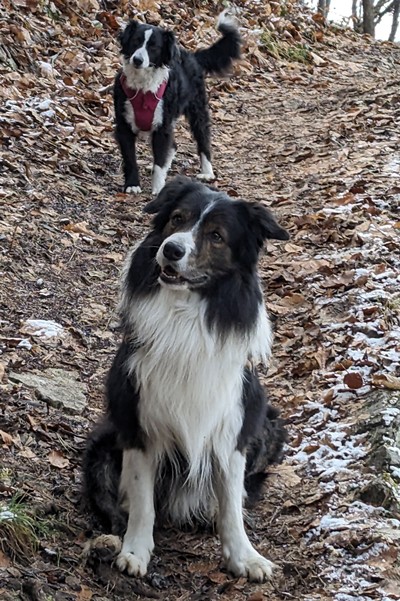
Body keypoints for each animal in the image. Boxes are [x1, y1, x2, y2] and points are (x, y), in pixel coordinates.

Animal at [83, 177, 289, 582]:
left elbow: (231, 505)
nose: (171, 250)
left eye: (217, 235)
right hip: (104, 444)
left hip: (267, 426)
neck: (187, 313)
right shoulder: (137, 421)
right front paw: (135, 551)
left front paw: (244, 557)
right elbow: (144, 500)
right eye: (177, 218)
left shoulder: (232, 426)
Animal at [113, 11, 241, 196]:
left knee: (203, 138)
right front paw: (132, 185)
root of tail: (193, 56)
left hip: (197, 111)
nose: (137, 59)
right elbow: (131, 159)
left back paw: (207, 172)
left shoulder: (162, 125)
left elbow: (159, 161)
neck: (143, 88)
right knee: (173, 146)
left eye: (154, 47)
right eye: (136, 41)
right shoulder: (124, 125)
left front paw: (158, 188)